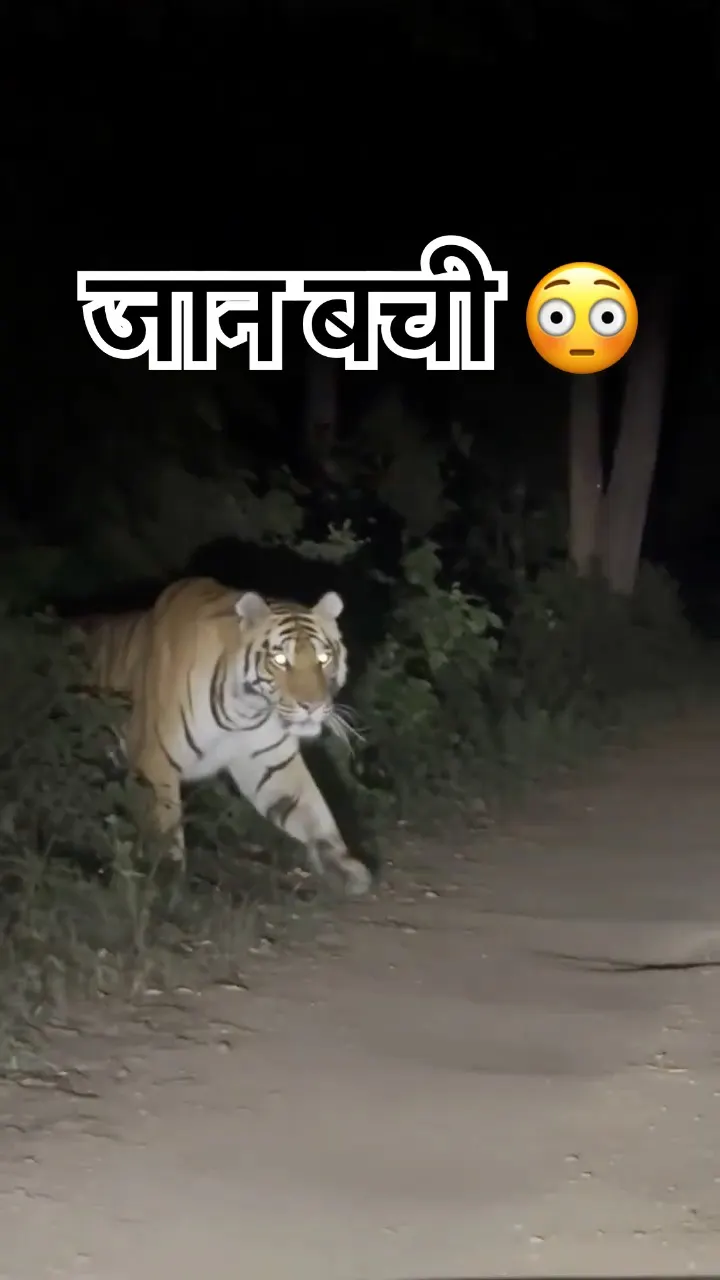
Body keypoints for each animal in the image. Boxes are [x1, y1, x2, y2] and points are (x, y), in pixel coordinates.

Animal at [76, 576, 373, 896]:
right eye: (281, 659)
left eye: (324, 657)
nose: (313, 706)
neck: (245, 713)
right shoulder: (155, 764)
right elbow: (165, 829)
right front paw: (166, 881)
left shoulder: (272, 764)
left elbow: (313, 813)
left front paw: (343, 866)